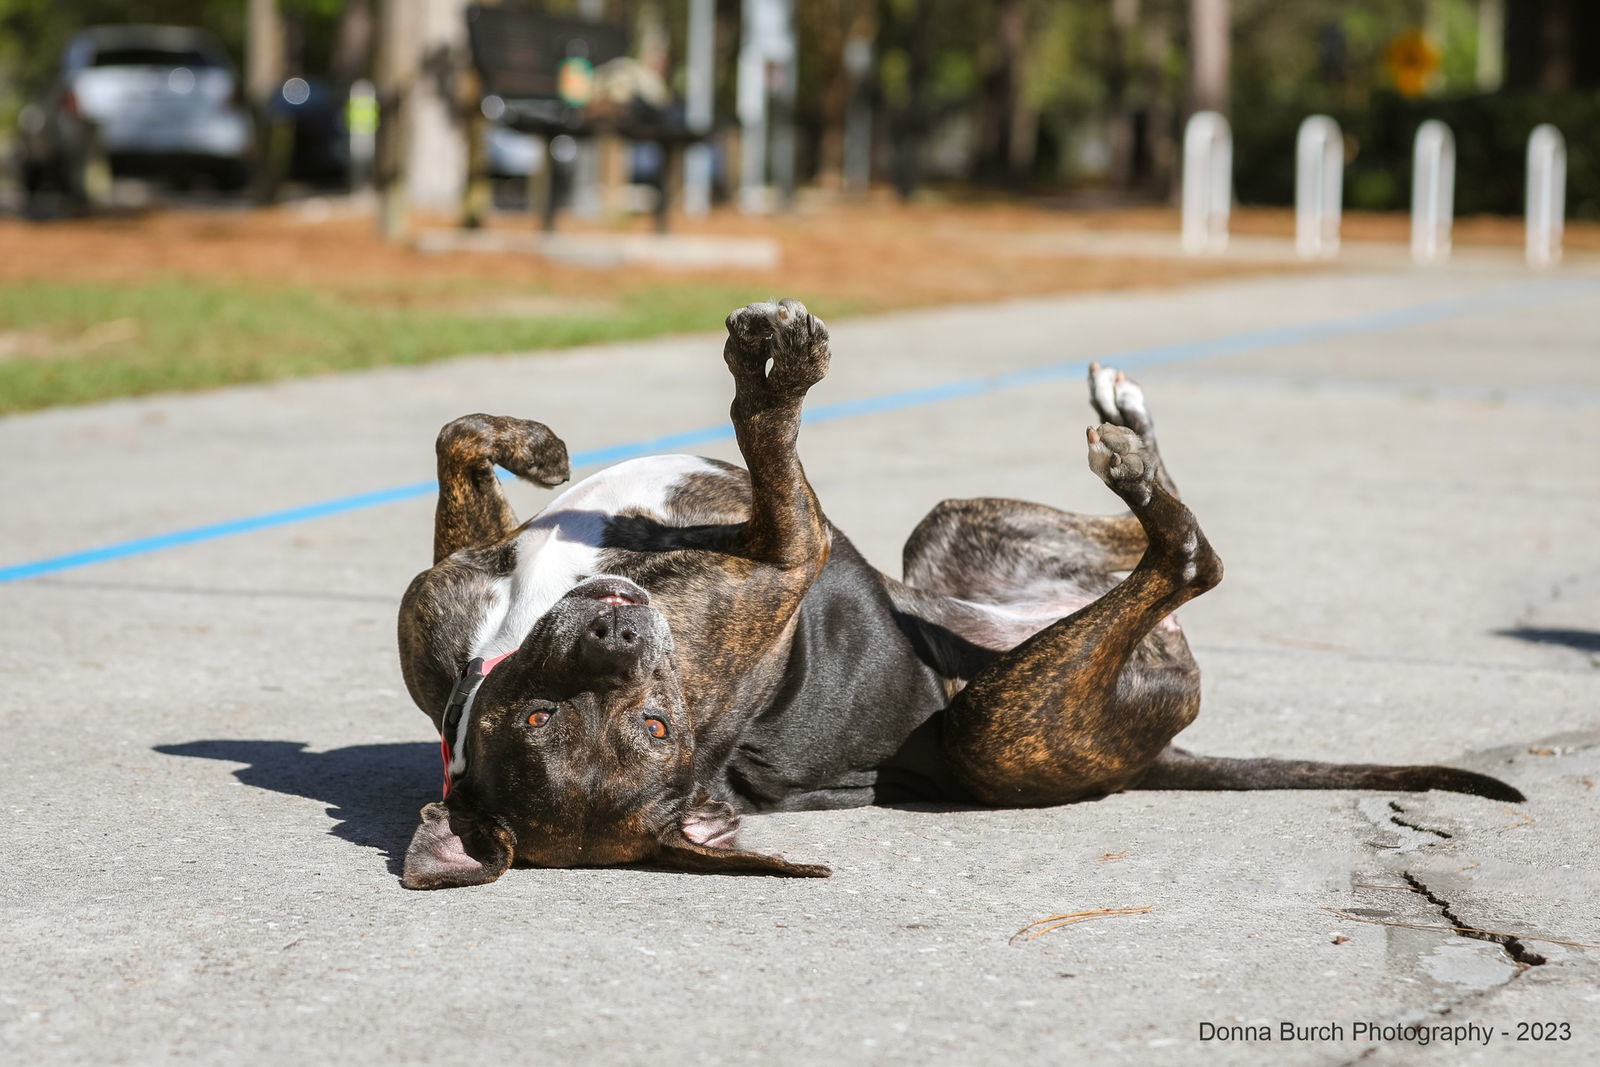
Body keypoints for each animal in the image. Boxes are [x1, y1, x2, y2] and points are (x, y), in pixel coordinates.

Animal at [393, 295, 1516, 889]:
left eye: (656, 725)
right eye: (543, 719)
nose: (619, 628)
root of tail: (1163, 752)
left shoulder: (448, 605)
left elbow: (456, 439)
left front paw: (534, 443)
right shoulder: (786, 551)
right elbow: (769, 437)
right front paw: (774, 374)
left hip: (955, 533)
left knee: (1132, 544)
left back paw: (1129, 425)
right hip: (1003, 721)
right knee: (1190, 562)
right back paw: (1134, 461)